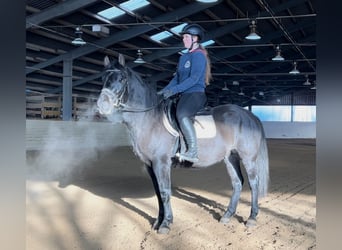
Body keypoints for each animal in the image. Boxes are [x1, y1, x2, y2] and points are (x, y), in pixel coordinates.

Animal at [96, 54, 270, 234]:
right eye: (102, 78)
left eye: (122, 79)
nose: (102, 105)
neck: (150, 118)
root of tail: (249, 115)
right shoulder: (149, 165)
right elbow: (158, 193)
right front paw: (158, 221)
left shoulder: (161, 163)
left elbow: (165, 192)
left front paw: (165, 224)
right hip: (230, 157)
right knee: (237, 183)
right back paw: (227, 216)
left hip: (248, 158)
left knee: (253, 183)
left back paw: (252, 218)